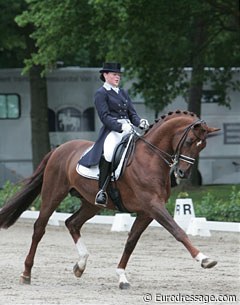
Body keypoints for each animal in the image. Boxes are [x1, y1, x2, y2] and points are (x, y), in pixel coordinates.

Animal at [0, 108, 220, 288]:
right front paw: (204, 259)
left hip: (92, 203)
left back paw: (80, 265)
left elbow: (131, 241)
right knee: (39, 228)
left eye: (202, 146)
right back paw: (26, 273)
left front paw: (122, 277)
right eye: (190, 141)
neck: (150, 158)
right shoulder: (153, 205)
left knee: (72, 223)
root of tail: (58, 149)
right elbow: (178, 231)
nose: (182, 173)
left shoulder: (147, 212)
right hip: (53, 193)